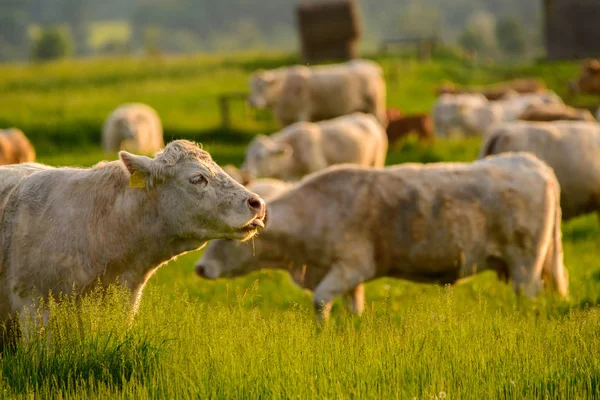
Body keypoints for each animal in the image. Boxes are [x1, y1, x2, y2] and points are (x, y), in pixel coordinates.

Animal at [197, 153, 568, 322]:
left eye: (228, 239)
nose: (200, 269)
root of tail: (532, 162)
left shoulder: (350, 266)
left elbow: (320, 301)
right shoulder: (348, 277)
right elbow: (353, 307)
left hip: (526, 264)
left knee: (528, 295)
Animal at [248, 59, 390, 126]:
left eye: (262, 87)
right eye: (251, 87)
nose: (251, 102)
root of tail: (371, 66)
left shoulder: (302, 113)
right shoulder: (283, 119)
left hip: (375, 106)